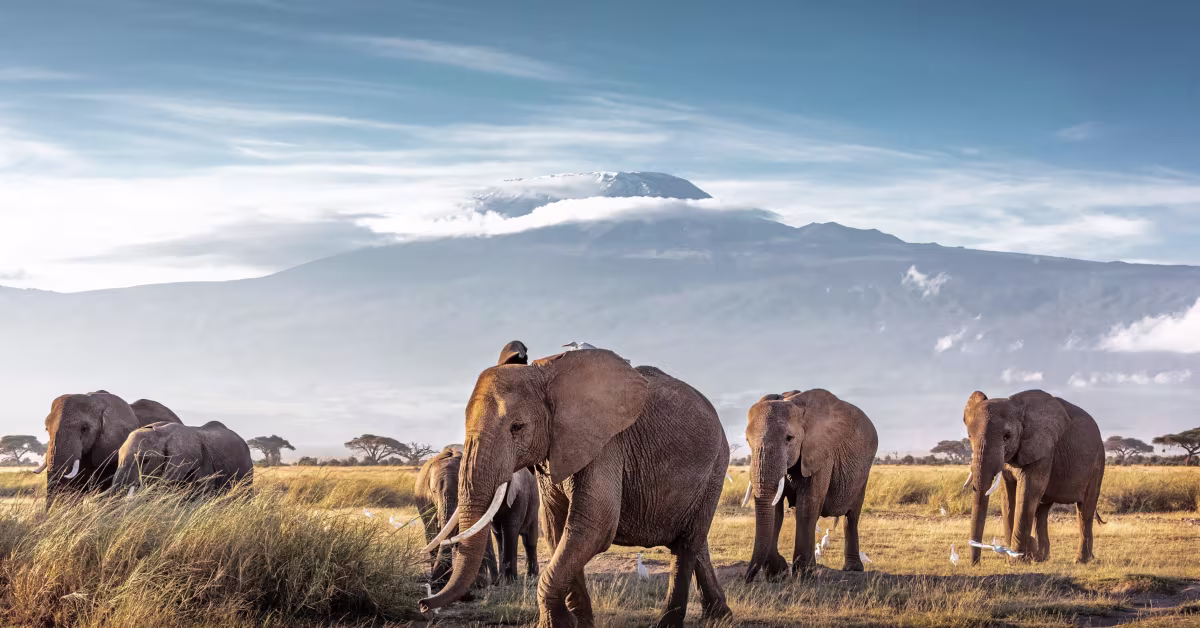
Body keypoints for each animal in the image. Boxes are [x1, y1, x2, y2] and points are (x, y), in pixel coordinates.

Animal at [744, 389, 878, 582]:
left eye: (789, 438)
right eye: (747, 441)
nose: (747, 579)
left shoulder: (821, 454)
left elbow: (807, 506)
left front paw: (805, 574)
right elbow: (776, 510)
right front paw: (778, 573)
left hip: (864, 471)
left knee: (852, 516)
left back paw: (852, 569)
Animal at [963, 390, 1105, 565]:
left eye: (1007, 436)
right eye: (969, 436)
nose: (975, 563)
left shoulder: (1044, 450)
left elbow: (1027, 492)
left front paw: (1016, 560)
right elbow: (1008, 496)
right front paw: (1016, 557)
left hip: (1097, 464)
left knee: (1085, 510)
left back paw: (1081, 560)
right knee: (1041, 511)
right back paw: (1041, 558)